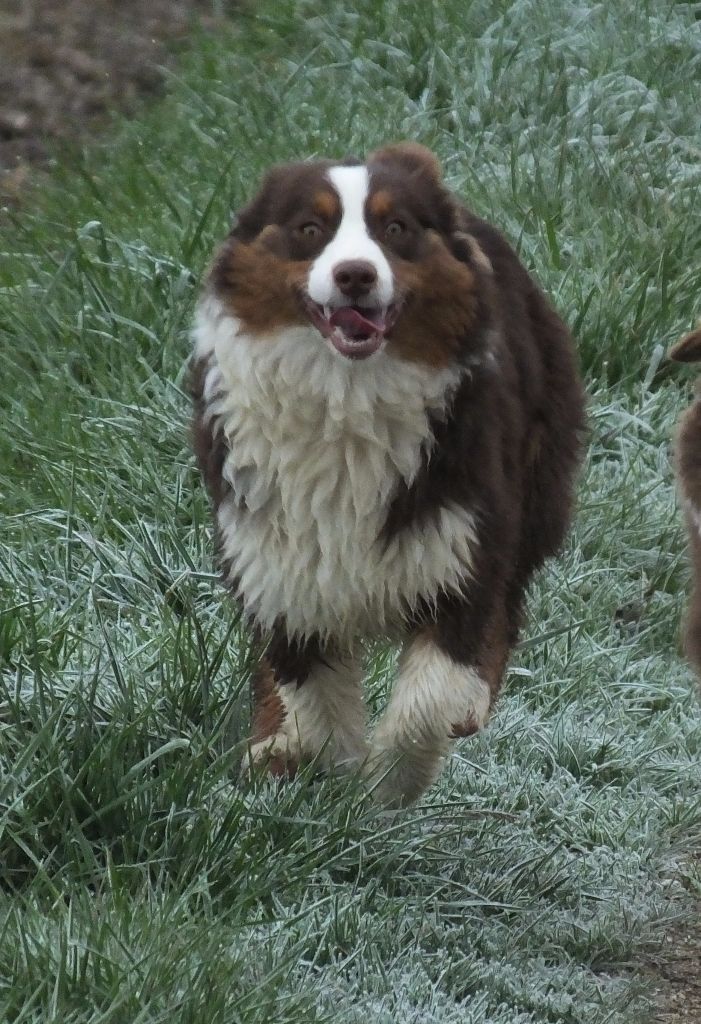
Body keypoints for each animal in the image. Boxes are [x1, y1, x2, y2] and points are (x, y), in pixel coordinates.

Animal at [188, 140, 581, 802]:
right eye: (309, 229)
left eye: (395, 228)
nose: (356, 275)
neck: (345, 397)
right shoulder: (276, 560)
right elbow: (310, 695)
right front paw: (325, 779)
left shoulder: (461, 550)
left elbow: (429, 698)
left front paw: (383, 792)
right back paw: (274, 744)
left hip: (534, 492)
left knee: (508, 610)